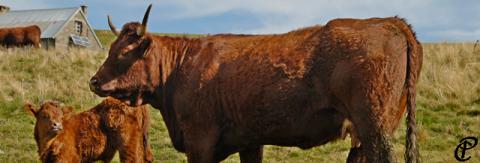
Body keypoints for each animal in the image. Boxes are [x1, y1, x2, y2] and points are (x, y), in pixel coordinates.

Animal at [89, 4, 420, 162]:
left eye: (124, 52)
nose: (94, 81)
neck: (180, 68)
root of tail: (389, 21)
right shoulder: (249, 141)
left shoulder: (199, 143)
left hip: (375, 127)